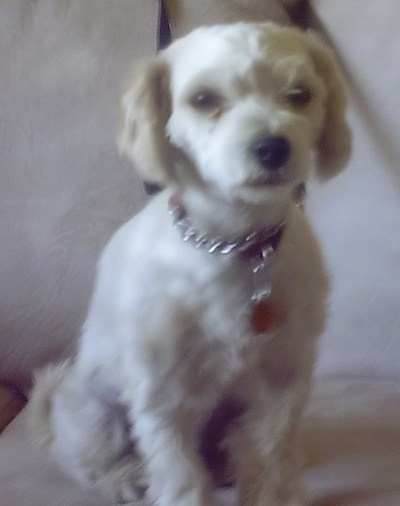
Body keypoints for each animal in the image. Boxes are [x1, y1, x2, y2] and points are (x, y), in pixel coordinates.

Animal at [27, 21, 350, 504]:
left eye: (299, 93)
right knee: (86, 462)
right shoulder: (163, 395)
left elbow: (270, 453)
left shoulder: (284, 374)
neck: (234, 245)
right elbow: (180, 478)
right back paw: (123, 477)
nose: (272, 147)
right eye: (203, 100)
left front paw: (275, 491)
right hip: (95, 414)